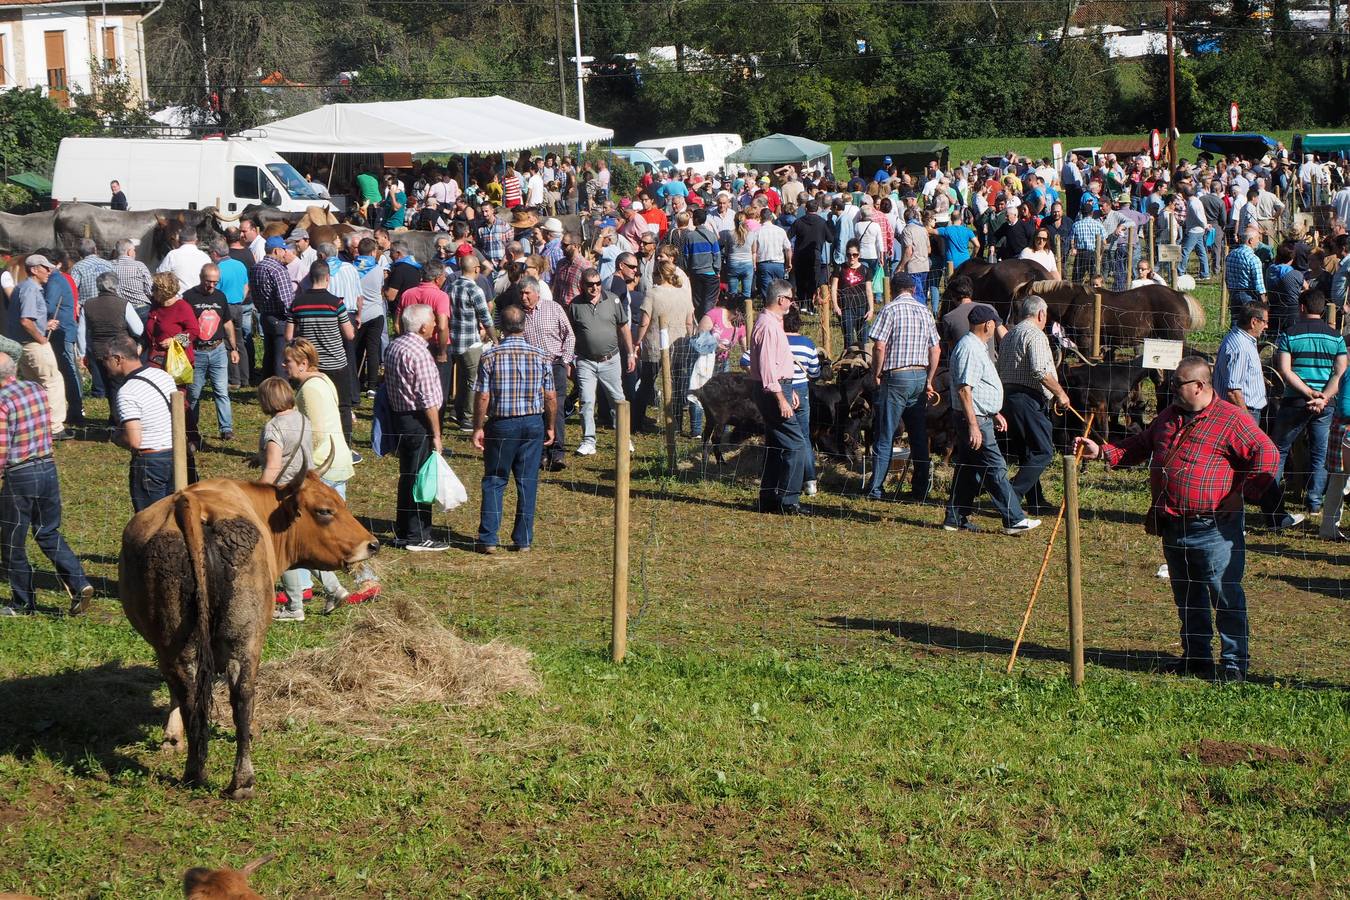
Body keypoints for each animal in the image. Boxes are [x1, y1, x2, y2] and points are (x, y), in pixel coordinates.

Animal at [119, 461, 378, 798]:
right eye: (325, 510)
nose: (372, 544)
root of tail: (191, 503)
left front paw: (172, 737)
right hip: (240, 638)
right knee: (235, 695)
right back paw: (234, 778)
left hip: (195, 642)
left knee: (208, 694)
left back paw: (207, 774)